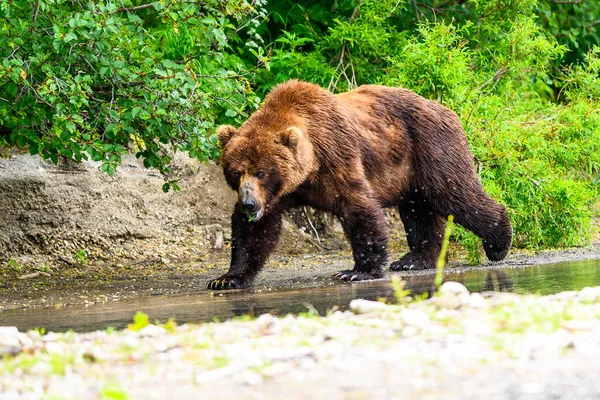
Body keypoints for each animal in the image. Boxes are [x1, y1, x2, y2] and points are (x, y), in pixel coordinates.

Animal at [206, 79, 510, 290]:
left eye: (261, 172)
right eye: (236, 171)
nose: (248, 204)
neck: (307, 169)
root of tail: (445, 108)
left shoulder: (336, 156)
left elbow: (357, 205)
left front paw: (355, 271)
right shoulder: (278, 194)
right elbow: (254, 233)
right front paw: (226, 278)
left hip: (431, 148)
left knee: (455, 194)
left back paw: (498, 242)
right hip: (410, 174)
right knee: (419, 210)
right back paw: (413, 258)